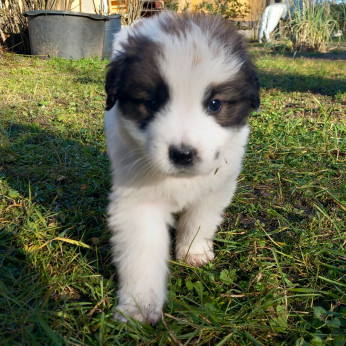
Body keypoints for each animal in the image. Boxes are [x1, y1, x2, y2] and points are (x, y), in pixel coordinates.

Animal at [104, 11, 260, 324]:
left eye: (215, 104)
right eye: (151, 102)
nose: (182, 154)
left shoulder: (216, 189)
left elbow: (199, 221)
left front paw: (193, 252)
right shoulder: (137, 203)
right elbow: (142, 254)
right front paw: (139, 306)